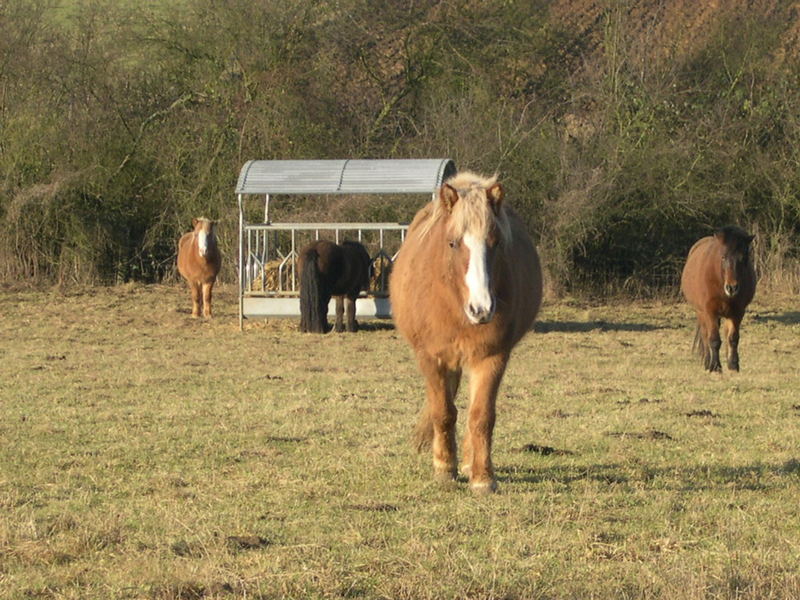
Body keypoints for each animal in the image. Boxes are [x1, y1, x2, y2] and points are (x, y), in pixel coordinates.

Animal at [390, 171, 544, 494]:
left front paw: (482, 478)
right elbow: (443, 412)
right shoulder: (431, 359)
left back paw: (469, 463)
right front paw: (444, 470)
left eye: (496, 243)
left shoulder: (491, 358)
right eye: (452, 243)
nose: (481, 308)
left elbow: (481, 416)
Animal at [680, 227, 756, 372]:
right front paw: (715, 366)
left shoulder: (737, 312)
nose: (732, 288)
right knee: (705, 336)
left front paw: (733, 365)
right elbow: (714, 340)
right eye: (723, 257)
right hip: (701, 313)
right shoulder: (710, 312)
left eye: (744, 258)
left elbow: (733, 338)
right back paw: (708, 362)